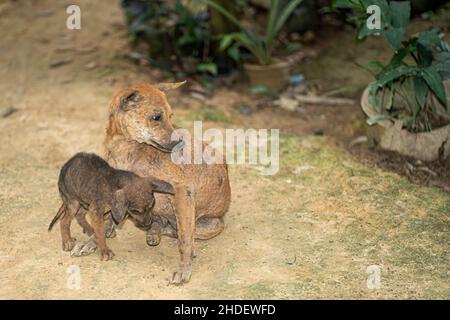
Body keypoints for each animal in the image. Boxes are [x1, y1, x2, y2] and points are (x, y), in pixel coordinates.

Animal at [104, 81, 230, 284]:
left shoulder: (182, 191)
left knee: (177, 230)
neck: (128, 148)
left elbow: (185, 240)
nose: (180, 143)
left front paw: (184, 269)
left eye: (171, 116)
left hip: (212, 223)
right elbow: (105, 217)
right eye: (156, 117)